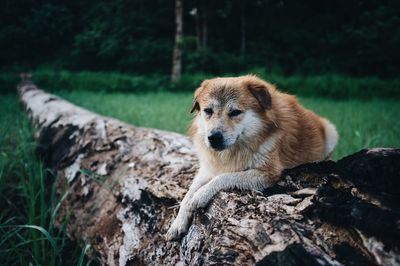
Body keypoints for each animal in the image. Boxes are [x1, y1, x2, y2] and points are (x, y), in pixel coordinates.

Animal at [166, 75, 338, 241]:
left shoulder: (267, 174)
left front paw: (200, 196)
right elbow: (188, 194)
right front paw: (177, 223)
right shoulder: (208, 169)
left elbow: (223, 177)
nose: (213, 138)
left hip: (331, 132)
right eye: (208, 111)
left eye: (235, 112)